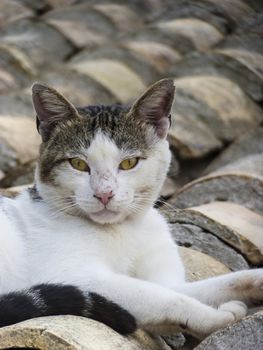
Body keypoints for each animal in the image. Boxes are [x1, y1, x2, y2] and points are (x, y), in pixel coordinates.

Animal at [0, 80, 263, 340]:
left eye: (128, 163)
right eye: (78, 164)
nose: (104, 194)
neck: (122, 231)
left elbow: (189, 289)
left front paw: (254, 282)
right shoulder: (75, 276)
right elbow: (162, 296)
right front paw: (217, 316)